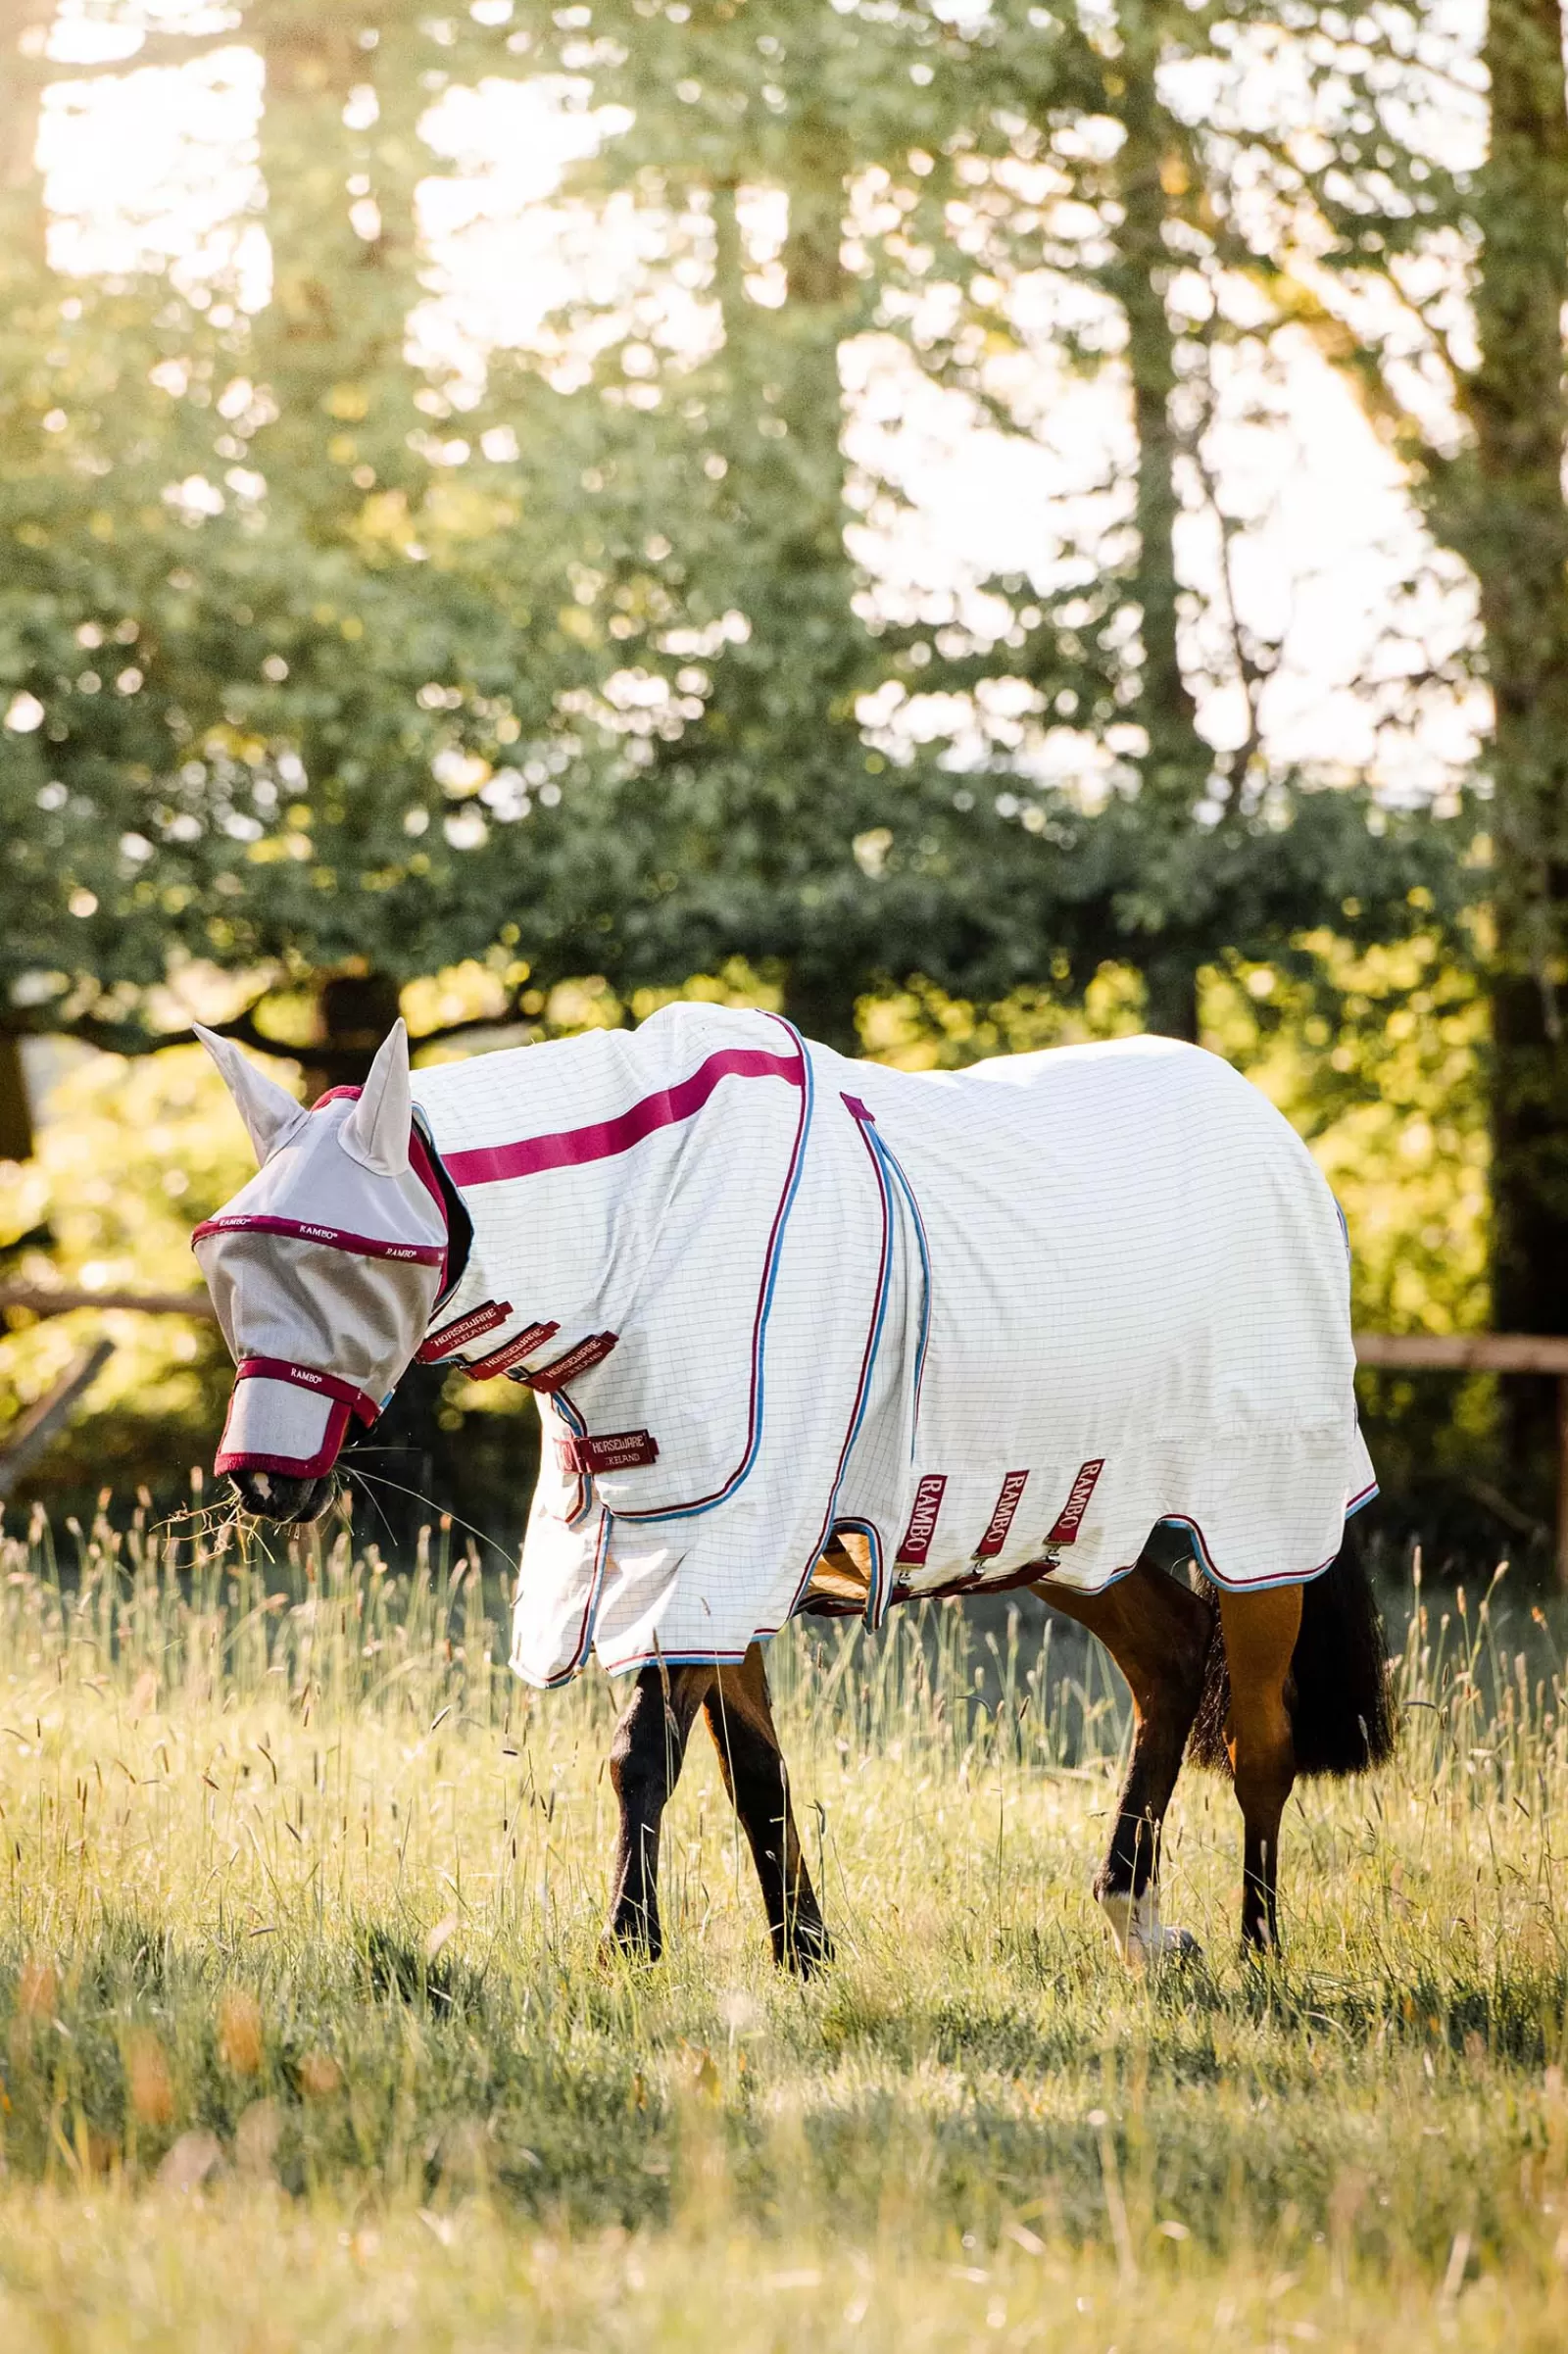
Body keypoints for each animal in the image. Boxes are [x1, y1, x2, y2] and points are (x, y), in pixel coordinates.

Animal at [185, 998, 1394, 1968]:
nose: (263, 1483)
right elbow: (749, 1774)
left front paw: (631, 1948)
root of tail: (1280, 1141)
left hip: (1261, 1524)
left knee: (1260, 1742)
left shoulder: (715, 1540)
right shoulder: (692, 1549)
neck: (652, 1233)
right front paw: (801, 1953)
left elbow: (648, 1755)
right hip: (1069, 1526)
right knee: (1171, 1661)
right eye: (228, 1260)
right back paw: (1137, 1922)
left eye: (346, 1265)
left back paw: (1258, 1948)